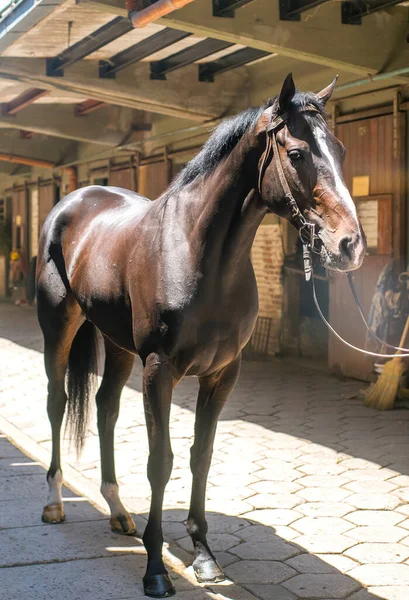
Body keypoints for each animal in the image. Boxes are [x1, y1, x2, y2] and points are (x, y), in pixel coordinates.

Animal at [36, 74, 364, 596]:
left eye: (340, 149)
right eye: (296, 153)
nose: (350, 245)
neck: (196, 253)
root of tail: (74, 199)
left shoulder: (222, 374)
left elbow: (201, 456)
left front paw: (204, 556)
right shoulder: (159, 370)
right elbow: (161, 461)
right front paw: (155, 568)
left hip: (118, 345)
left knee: (106, 409)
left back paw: (118, 511)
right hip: (59, 327)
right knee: (57, 401)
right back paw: (54, 501)